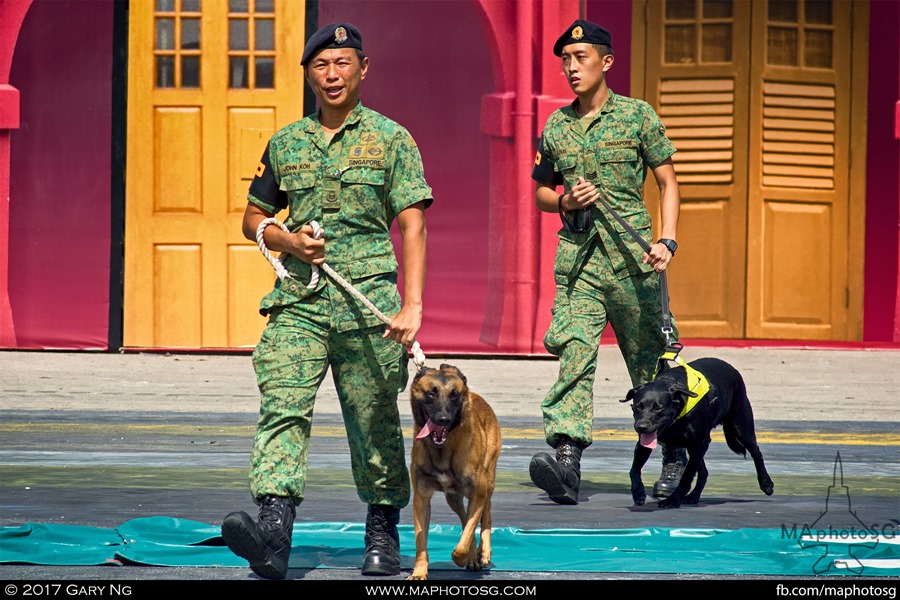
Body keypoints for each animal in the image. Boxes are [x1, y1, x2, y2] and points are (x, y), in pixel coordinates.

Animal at [406, 364, 500, 580]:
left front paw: (462, 557)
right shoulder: (421, 499)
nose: (443, 419)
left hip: (488, 483)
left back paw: (483, 553)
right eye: (431, 393)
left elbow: (467, 535)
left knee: (485, 517)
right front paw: (419, 571)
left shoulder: (478, 493)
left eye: (454, 394)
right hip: (453, 498)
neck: (442, 450)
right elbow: (421, 541)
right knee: (465, 518)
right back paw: (474, 555)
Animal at [624, 358, 772, 508]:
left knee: (756, 452)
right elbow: (634, 470)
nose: (641, 427)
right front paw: (638, 492)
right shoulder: (645, 444)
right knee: (704, 473)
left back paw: (766, 483)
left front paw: (673, 499)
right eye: (638, 407)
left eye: (657, 408)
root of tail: (732, 369)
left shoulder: (699, 443)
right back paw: (694, 496)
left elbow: (687, 476)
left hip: (741, 427)